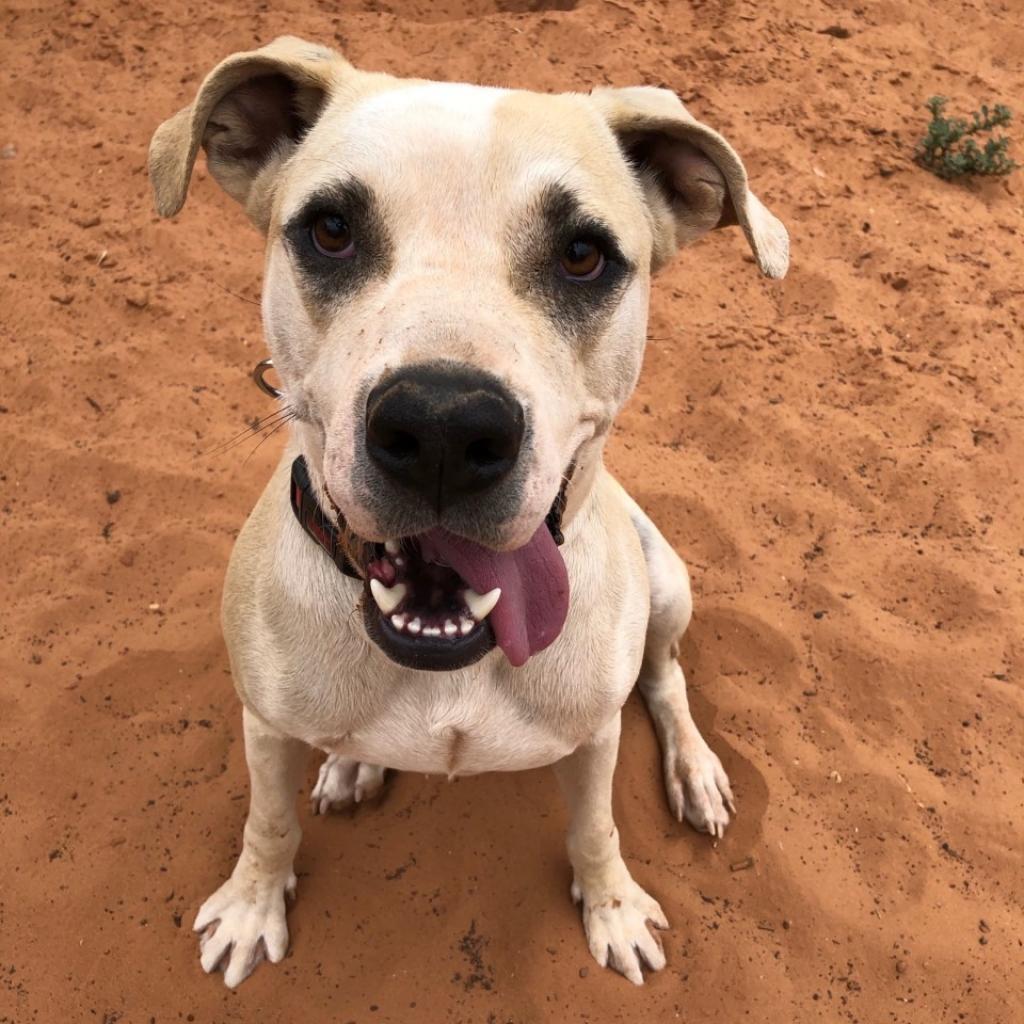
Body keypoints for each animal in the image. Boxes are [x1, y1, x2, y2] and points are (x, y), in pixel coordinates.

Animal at [149, 36, 790, 987]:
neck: (450, 664)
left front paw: (612, 907)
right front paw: (253, 903)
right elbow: (268, 822)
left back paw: (697, 771)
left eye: (583, 254)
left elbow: (596, 828)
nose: (443, 428)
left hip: (670, 582)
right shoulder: (264, 724)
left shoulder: (593, 738)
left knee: (666, 676)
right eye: (330, 231)